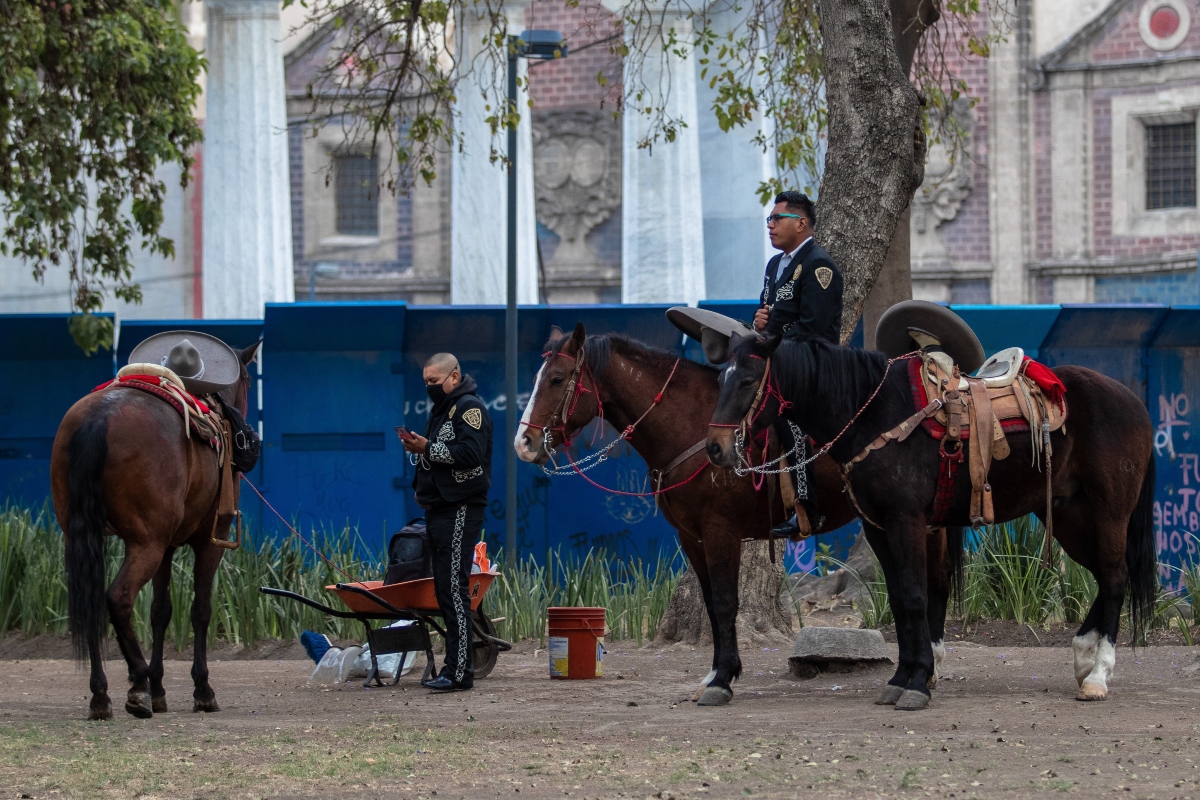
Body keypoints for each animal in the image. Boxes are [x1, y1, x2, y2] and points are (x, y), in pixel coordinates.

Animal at [52, 331, 260, 719]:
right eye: (248, 380)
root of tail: (100, 417)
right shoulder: (210, 541)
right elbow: (200, 610)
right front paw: (202, 690)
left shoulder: (167, 545)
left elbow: (160, 611)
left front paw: (162, 688)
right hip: (145, 544)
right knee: (117, 598)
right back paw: (137, 683)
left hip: (89, 538)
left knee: (92, 601)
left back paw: (102, 694)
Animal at [516, 321, 964, 705]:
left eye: (557, 378)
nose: (524, 443)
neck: (693, 424)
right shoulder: (692, 537)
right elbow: (712, 604)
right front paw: (716, 672)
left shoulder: (720, 531)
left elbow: (726, 602)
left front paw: (723, 679)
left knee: (933, 583)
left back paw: (928, 667)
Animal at [705, 303, 1156, 710]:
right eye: (721, 378)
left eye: (747, 380)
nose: (715, 448)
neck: (876, 413)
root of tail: (1134, 400)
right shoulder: (879, 527)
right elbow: (901, 600)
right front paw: (902, 678)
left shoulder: (906, 521)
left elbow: (914, 597)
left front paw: (918, 683)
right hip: (1067, 515)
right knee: (1104, 577)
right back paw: (1082, 657)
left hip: (1109, 511)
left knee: (1115, 577)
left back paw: (1098, 675)